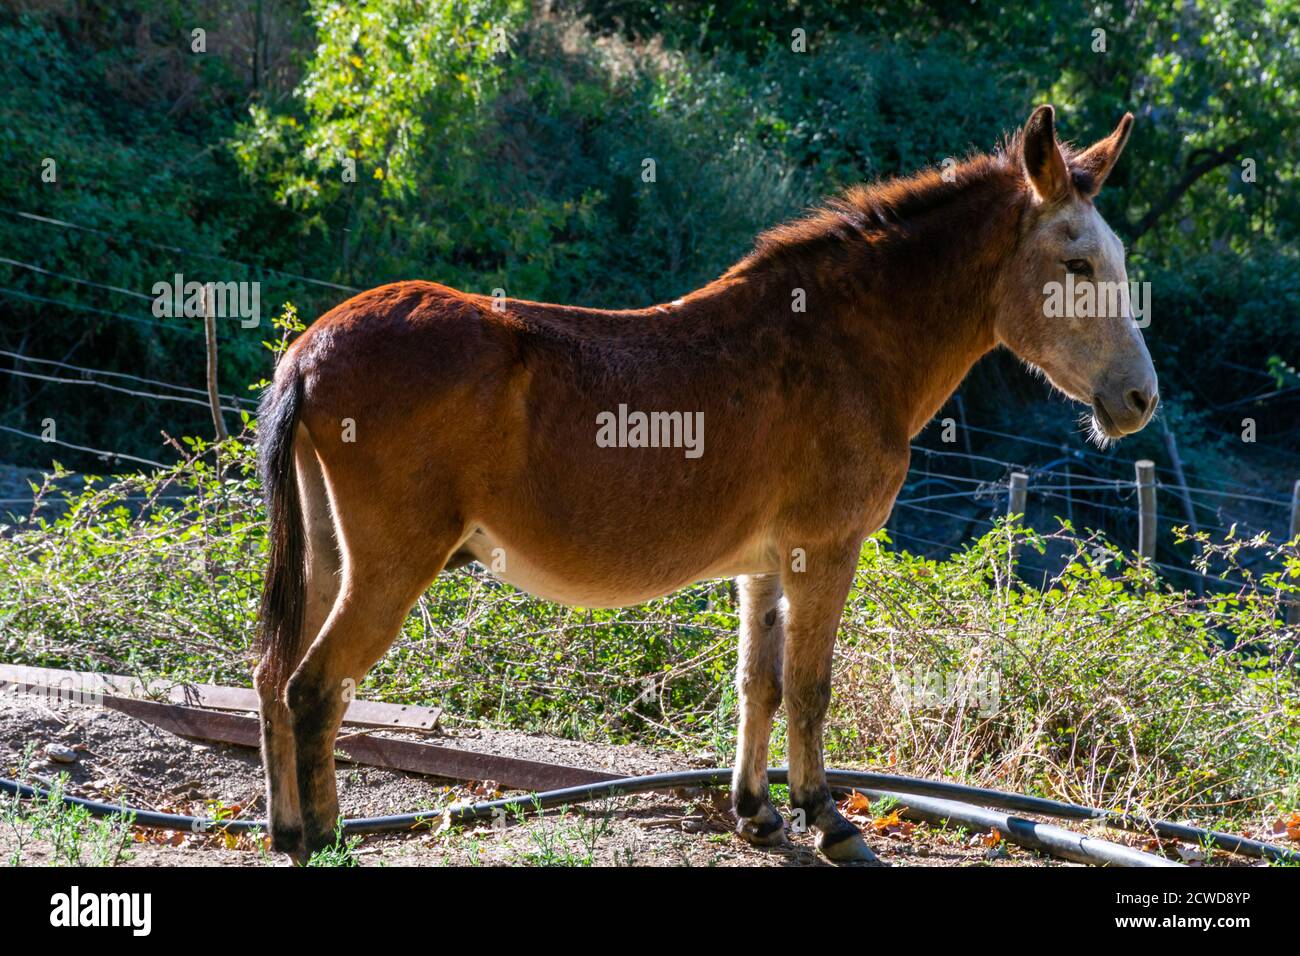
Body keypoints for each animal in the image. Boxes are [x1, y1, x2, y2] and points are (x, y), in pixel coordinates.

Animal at [254, 105, 1157, 863]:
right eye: (1077, 262)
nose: (1140, 400)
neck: (844, 344)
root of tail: (310, 349)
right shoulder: (824, 553)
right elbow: (810, 688)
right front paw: (827, 820)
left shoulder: (763, 567)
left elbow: (758, 684)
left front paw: (757, 812)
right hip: (389, 569)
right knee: (314, 688)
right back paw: (319, 841)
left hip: (331, 560)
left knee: (274, 678)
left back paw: (290, 829)